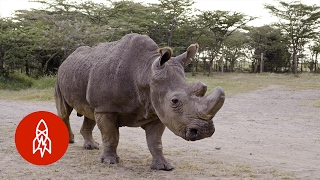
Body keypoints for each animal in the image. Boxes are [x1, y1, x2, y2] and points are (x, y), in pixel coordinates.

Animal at [54, 33, 225, 170]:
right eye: (175, 101)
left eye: (202, 88)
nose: (204, 131)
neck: (145, 72)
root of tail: (68, 58)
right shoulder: (106, 108)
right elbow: (111, 136)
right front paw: (110, 162)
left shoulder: (157, 111)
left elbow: (155, 141)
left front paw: (163, 166)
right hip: (60, 74)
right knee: (64, 111)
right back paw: (70, 141)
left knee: (89, 113)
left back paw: (91, 147)